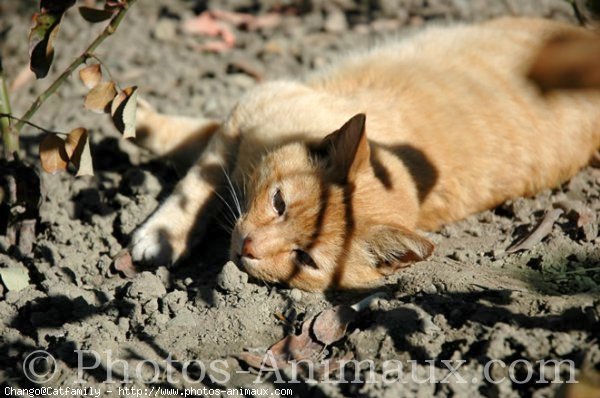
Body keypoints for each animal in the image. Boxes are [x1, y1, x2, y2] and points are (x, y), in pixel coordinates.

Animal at [127, 17, 600, 292]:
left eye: (304, 259)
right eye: (279, 203)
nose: (247, 246)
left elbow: (199, 163)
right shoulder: (248, 112)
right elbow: (198, 172)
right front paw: (165, 229)